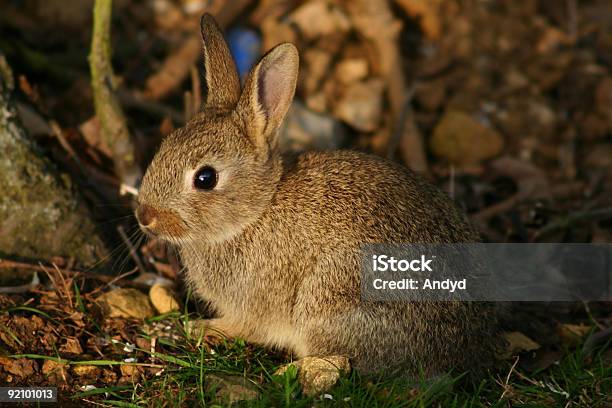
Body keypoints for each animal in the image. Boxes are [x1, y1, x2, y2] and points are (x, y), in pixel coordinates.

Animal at [137, 12, 502, 376]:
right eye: (165, 144)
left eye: (205, 178)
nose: (144, 216)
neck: (255, 212)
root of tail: (464, 352)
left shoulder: (255, 304)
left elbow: (244, 326)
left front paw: (202, 327)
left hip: (328, 301)